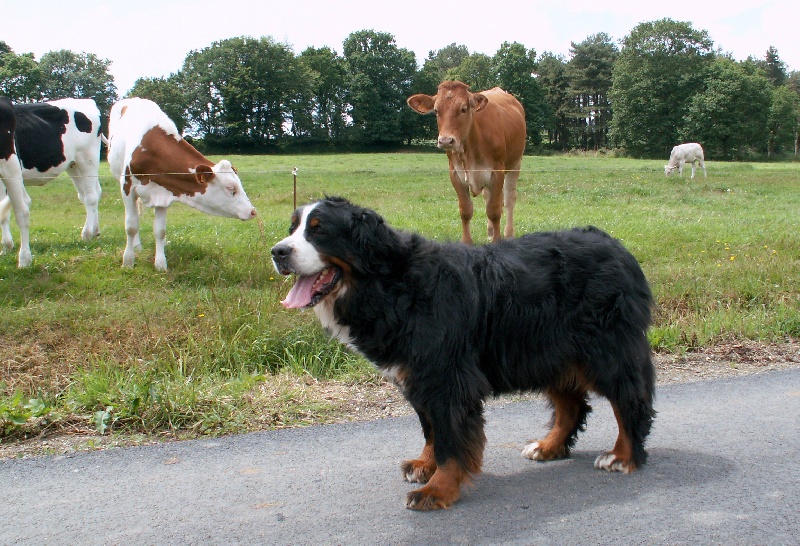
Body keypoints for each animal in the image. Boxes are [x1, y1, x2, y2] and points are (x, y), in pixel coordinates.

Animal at [0, 99, 103, 268]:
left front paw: (21, 257)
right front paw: (6, 246)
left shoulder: (9, 166)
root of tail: (87, 100)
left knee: (91, 197)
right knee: (87, 194)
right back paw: (95, 230)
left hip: (87, 158)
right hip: (73, 165)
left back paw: (87, 233)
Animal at [105, 98, 256, 270]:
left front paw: (161, 264)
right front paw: (128, 261)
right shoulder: (127, 188)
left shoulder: (163, 192)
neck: (152, 149)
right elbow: (131, 226)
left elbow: (160, 231)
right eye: (231, 188)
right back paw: (136, 246)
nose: (253, 211)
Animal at [270, 197, 656, 510]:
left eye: (319, 231)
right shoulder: (418, 375)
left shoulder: (446, 376)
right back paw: (548, 446)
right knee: (572, 404)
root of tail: (616, 246)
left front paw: (437, 489)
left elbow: (450, 438)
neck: (390, 284)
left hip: (607, 350)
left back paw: (623, 456)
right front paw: (425, 466)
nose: (278, 252)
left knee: (629, 400)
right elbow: (431, 429)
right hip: (547, 350)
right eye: (293, 228)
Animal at [410, 81, 528, 242]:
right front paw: (467, 241)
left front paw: (497, 240)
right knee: (488, 197)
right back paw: (490, 231)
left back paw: (508, 233)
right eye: (436, 110)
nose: (446, 140)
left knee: (509, 200)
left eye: (463, 109)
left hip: (515, 164)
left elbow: (494, 210)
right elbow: (466, 210)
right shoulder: (455, 173)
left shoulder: (497, 172)